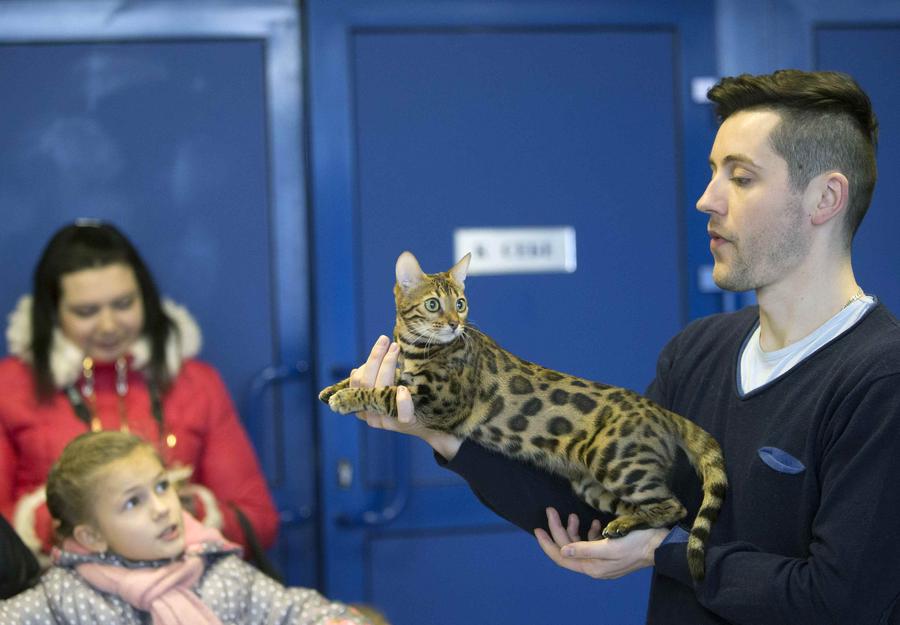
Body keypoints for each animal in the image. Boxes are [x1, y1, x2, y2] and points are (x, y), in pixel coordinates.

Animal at [320, 250, 728, 580]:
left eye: (461, 303)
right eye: (434, 305)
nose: (454, 324)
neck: (416, 348)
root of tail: (661, 412)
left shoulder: (440, 403)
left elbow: (386, 392)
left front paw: (349, 396)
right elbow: (375, 376)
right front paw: (335, 386)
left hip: (615, 461)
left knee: (675, 506)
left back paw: (626, 524)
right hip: (592, 484)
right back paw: (623, 523)